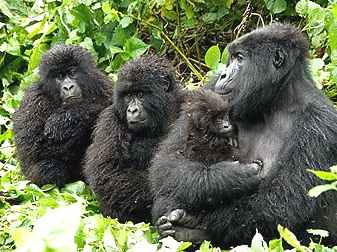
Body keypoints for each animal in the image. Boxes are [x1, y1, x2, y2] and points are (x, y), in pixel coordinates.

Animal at [13, 44, 113, 187]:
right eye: (59, 76)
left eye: (71, 73)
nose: (68, 87)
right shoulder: (33, 100)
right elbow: (33, 148)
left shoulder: (103, 85)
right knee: (50, 168)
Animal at [150, 89, 262, 243]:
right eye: (218, 119)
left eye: (225, 116)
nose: (227, 125)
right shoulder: (188, 134)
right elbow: (166, 163)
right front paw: (236, 175)